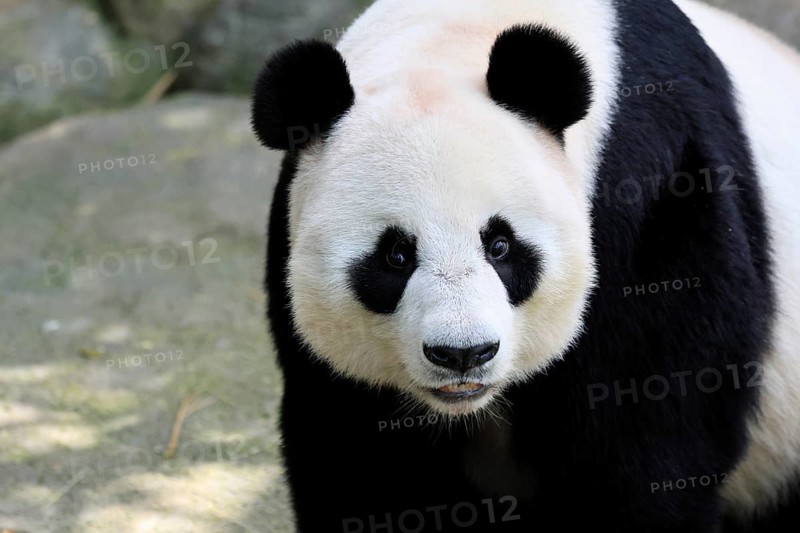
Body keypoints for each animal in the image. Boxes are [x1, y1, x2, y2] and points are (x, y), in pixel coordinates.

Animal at [251, 0, 800, 531]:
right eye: (396, 255)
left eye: (500, 245)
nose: (463, 354)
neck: (451, 37)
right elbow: (357, 461)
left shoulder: (656, 189)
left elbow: (649, 439)